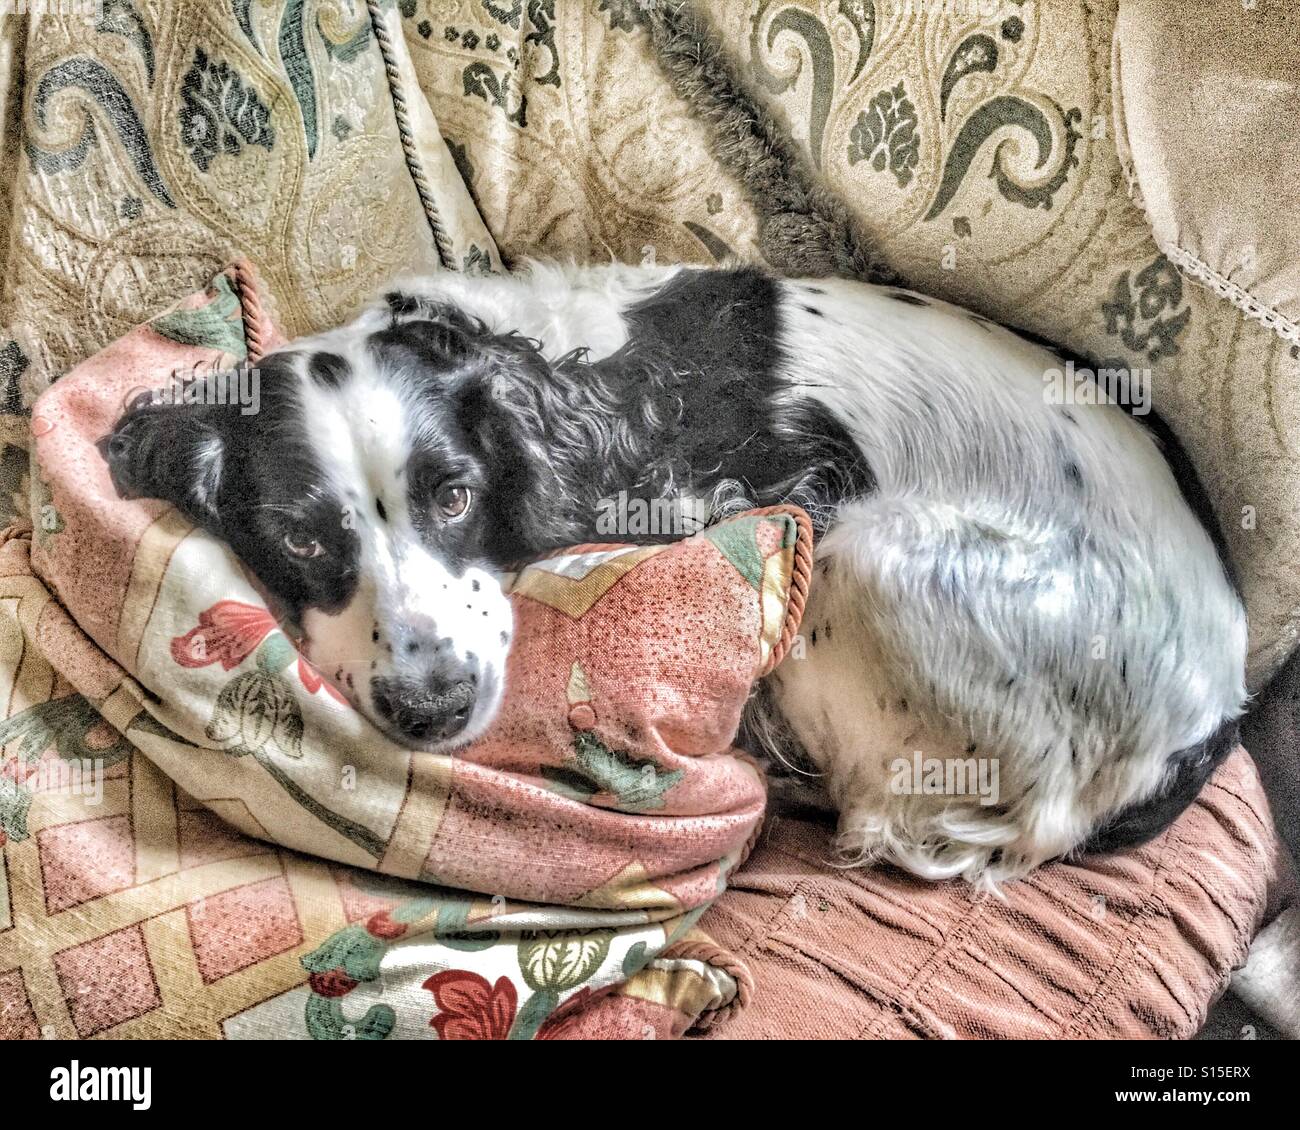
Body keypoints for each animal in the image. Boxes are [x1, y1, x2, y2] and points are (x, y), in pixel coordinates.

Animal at [104, 260, 1248, 884]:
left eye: (454, 497)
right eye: (298, 539)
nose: (434, 705)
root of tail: (1212, 704)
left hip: (861, 552)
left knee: (879, 809)